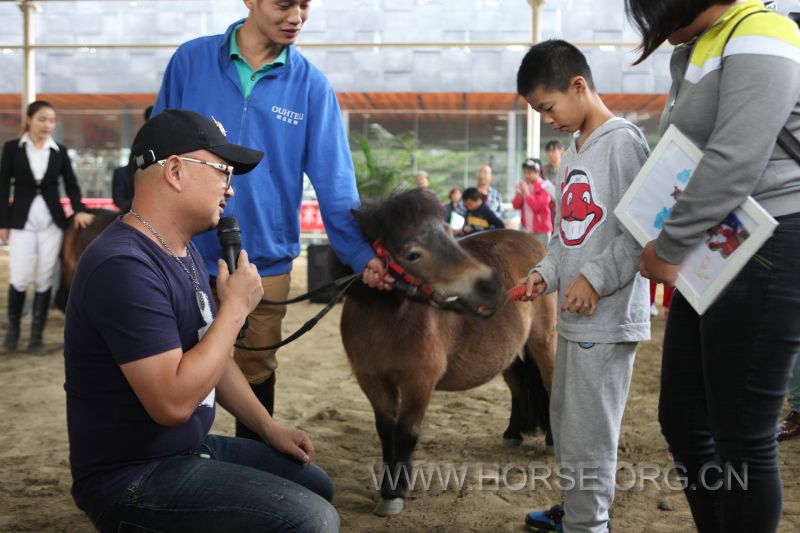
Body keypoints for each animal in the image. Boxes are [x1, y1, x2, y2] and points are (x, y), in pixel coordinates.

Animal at [338, 188, 556, 516]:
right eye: (413, 254)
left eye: (450, 235)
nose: (491, 286)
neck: (386, 321)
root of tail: (533, 243)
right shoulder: (371, 380)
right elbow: (387, 430)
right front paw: (388, 489)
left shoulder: (419, 382)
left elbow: (406, 433)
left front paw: (395, 493)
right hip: (507, 354)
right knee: (519, 381)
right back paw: (512, 433)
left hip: (544, 342)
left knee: (551, 383)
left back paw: (553, 441)